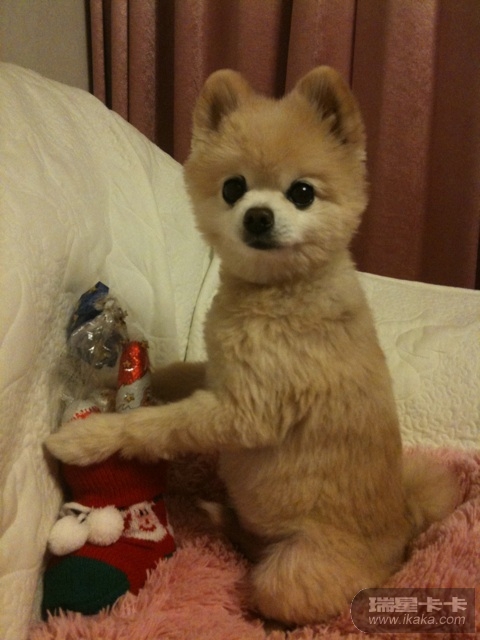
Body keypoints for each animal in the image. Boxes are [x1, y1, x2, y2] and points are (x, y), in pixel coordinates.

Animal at [47, 66, 457, 626]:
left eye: (302, 192)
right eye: (233, 187)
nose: (258, 215)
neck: (279, 290)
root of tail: (404, 533)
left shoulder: (246, 411)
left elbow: (153, 426)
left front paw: (90, 437)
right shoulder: (219, 373)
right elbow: (178, 370)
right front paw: (122, 374)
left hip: (292, 574)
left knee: (277, 585)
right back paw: (220, 514)